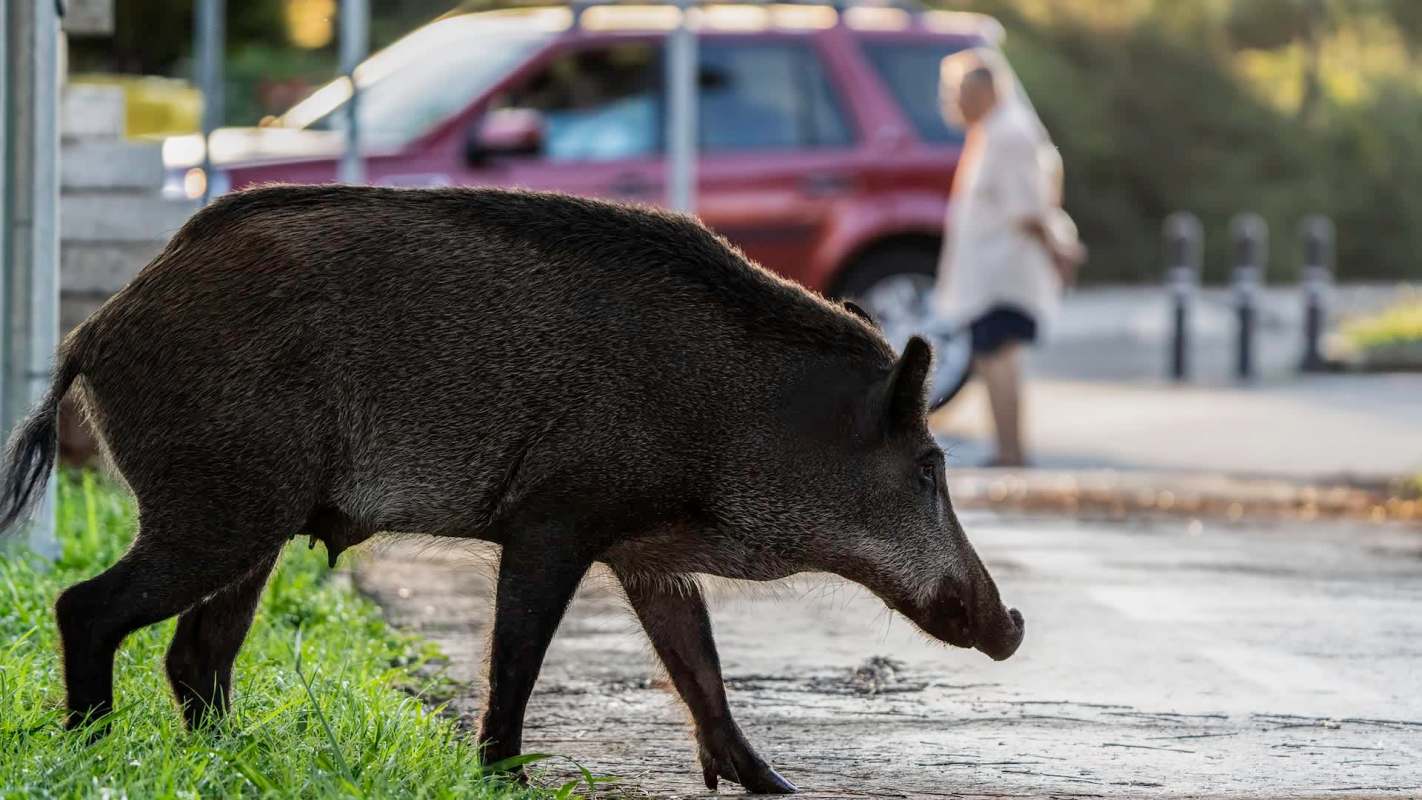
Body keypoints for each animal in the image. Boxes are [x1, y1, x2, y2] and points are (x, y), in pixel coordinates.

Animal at [0, 186, 1023, 793]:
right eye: (931, 468)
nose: (1011, 627)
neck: (738, 418)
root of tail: (95, 330)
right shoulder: (555, 519)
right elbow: (517, 659)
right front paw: (505, 778)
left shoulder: (646, 553)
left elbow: (700, 666)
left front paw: (776, 787)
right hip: (218, 503)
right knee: (88, 608)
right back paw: (95, 751)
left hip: (251, 521)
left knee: (197, 654)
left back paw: (234, 759)